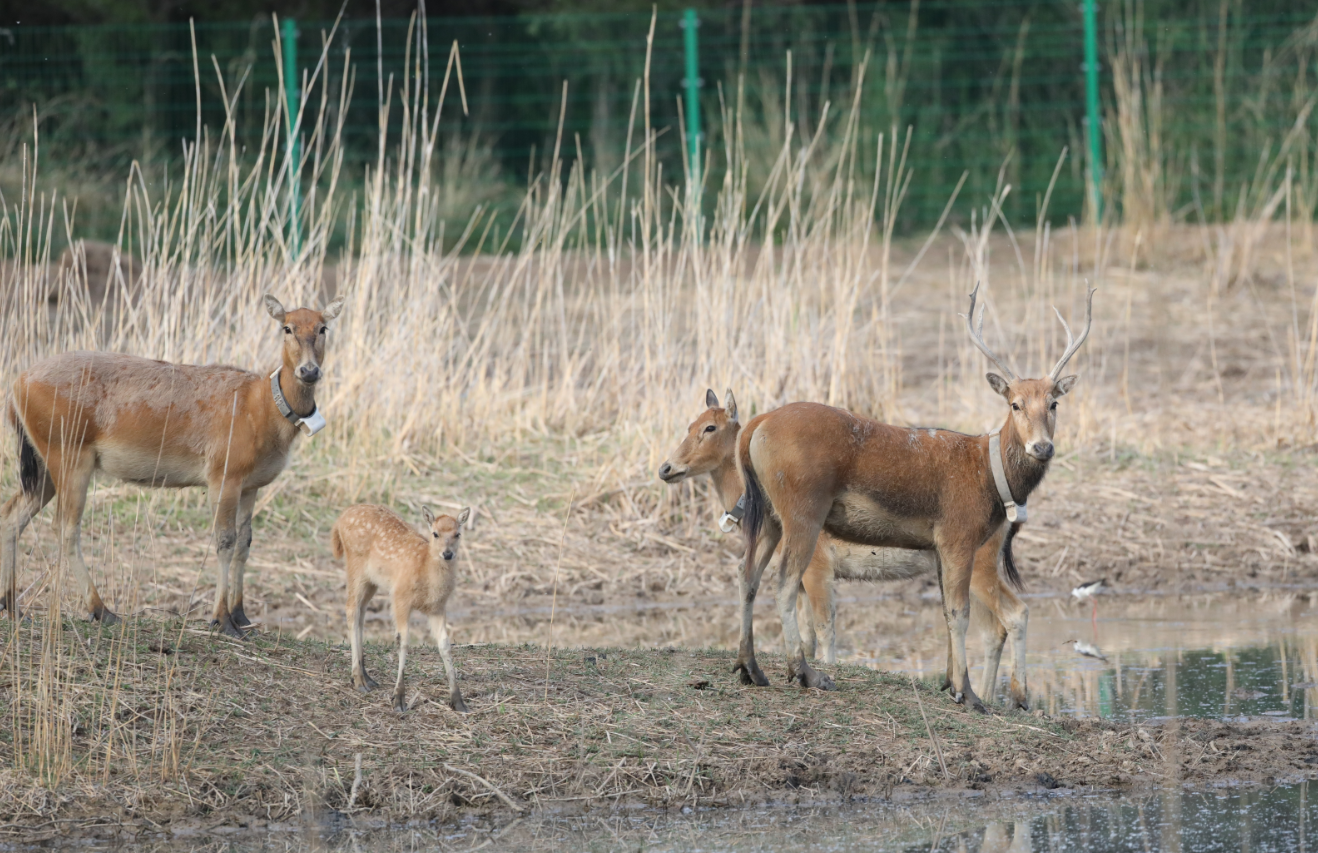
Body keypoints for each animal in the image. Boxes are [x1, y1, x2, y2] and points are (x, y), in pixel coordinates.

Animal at [0, 296, 345, 638]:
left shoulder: (251, 484)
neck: (261, 409)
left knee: (13, 514)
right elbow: (225, 540)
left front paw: (242, 615)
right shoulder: (223, 473)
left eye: (323, 327)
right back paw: (102, 610)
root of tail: (16, 387)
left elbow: (245, 542)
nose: (309, 370)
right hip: (69, 454)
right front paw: (222, 620)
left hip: (42, 463)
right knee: (65, 527)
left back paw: (14, 607)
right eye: (287, 327)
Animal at [334, 500, 474, 711]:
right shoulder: (400, 598)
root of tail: (340, 517)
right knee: (351, 608)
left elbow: (444, 644)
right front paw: (399, 699)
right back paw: (359, 681)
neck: (425, 571)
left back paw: (366, 677)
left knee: (361, 611)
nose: (448, 554)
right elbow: (403, 640)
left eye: (458, 534)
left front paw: (458, 701)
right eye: (435, 533)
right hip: (355, 566)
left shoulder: (438, 607)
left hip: (371, 581)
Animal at [659, 387, 1028, 706]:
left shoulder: (819, 569)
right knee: (990, 627)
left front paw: (819, 671)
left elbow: (825, 628)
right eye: (690, 424)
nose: (667, 467)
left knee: (1012, 614)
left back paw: (1011, 698)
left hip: (977, 565)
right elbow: (809, 630)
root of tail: (1008, 512)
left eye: (710, 427)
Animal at [732, 283, 1091, 711]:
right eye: (1015, 404)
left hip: (769, 514)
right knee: (784, 582)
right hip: (803, 508)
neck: (989, 477)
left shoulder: (939, 546)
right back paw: (805, 673)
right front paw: (967, 694)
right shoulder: (957, 534)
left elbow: (945, 612)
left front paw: (953, 685)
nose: (1042, 447)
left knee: (748, 575)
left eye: (1054, 403)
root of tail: (756, 425)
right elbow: (958, 612)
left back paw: (750, 668)